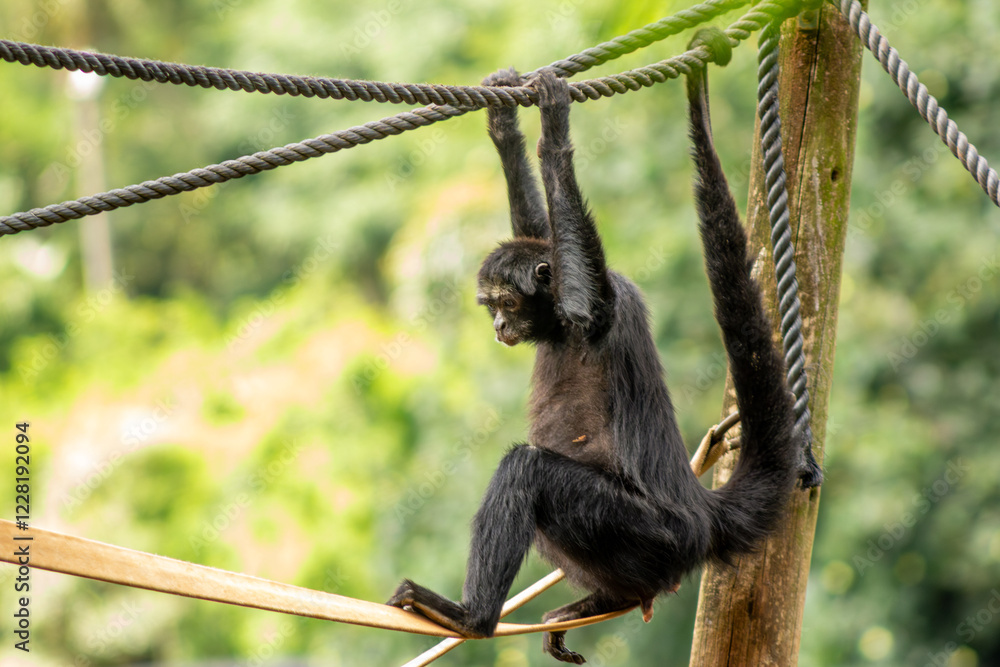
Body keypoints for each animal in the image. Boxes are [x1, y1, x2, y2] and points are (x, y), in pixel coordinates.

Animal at [388, 30, 810, 663]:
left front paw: (555, 123)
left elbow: (588, 299)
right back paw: (601, 601)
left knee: (528, 468)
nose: (499, 328)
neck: (557, 326)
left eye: (506, 304)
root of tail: (699, 513)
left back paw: (472, 617)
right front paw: (505, 121)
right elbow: (540, 223)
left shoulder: (596, 306)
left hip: (644, 532)